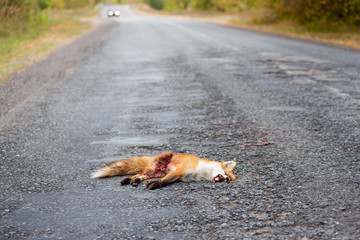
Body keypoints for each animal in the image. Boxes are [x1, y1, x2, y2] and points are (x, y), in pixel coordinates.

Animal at [90, 152, 236, 189]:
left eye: (230, 178)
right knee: (140, 173)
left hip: (156, 172)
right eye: (227, 174)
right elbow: (165, 181)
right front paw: (155, 184)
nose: (227, 180)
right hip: (157, 165)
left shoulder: (179, 175)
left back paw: (133, 180)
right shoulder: (180, 170)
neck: (201, 173)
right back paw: (129, 180)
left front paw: (154, 184)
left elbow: (166, 180)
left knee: (141, 175)